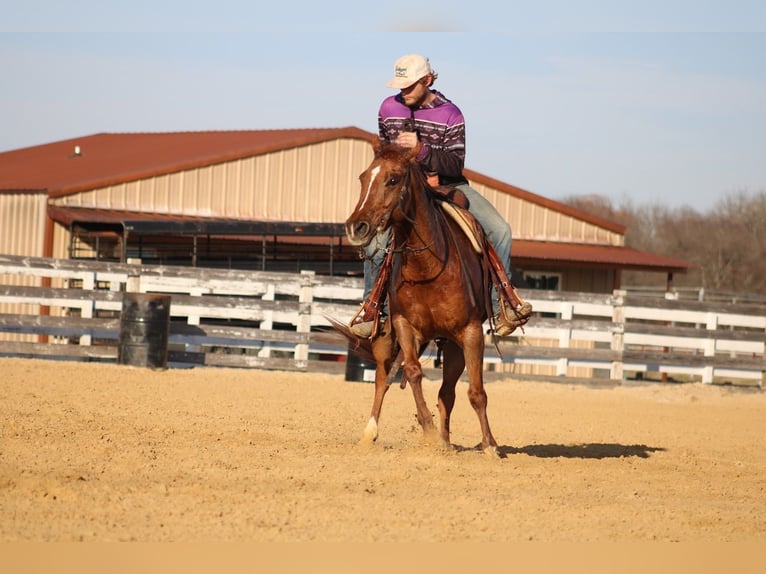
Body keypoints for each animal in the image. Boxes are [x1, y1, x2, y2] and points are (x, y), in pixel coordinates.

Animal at [340, 139, 499, 455]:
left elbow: (476, 392)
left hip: (453, 346)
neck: (428, 267)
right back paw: (370, 432)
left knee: (447, 392)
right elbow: (412, 372)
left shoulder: (471, 332)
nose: (356, 227)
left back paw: (447, 443)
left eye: (393, 179)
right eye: (363, 178)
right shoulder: (403, 326)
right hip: (387, 336)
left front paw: (489, 446)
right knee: (382, 378)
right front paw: (428, 428)